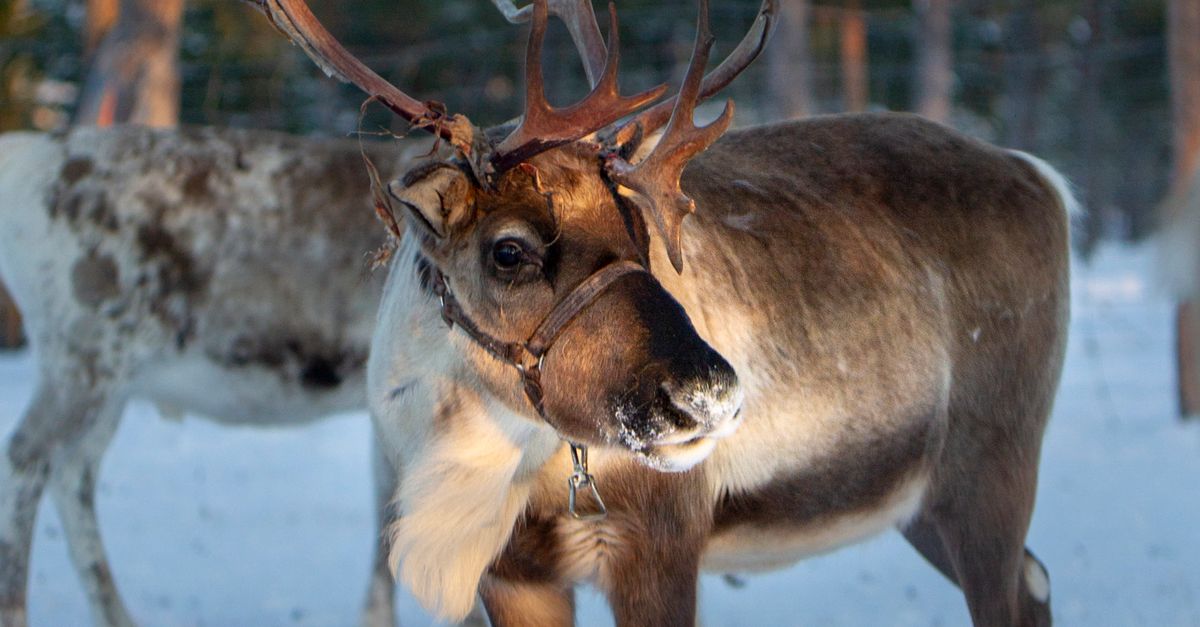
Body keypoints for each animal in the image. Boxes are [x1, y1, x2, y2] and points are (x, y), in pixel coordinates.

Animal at [257, 0, 1074, 624]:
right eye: (508, 250)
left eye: (643, 233)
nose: (708, 395)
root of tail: (1046, 179)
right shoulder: (514, 570)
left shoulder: (661, 541)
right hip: (923, 502)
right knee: (1036, 581)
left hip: (992, 463)